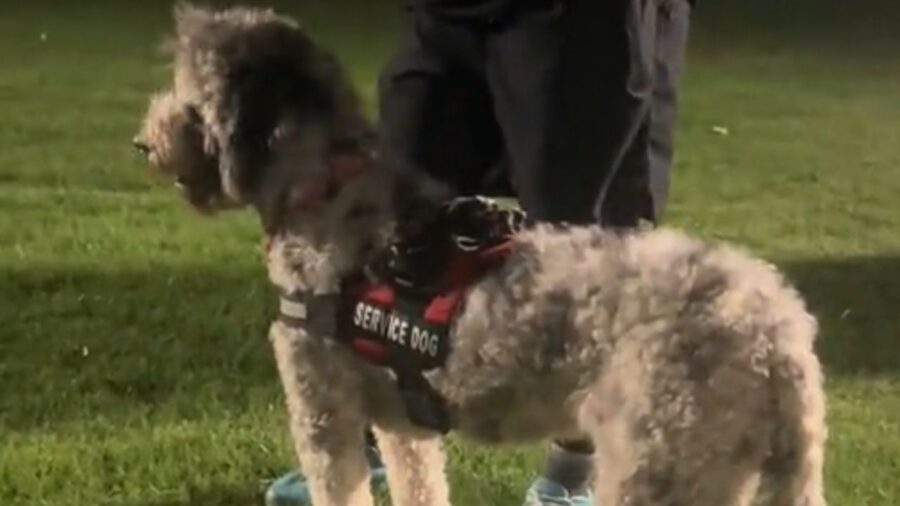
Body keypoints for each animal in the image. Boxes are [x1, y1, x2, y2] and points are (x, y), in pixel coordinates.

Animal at [130, 4, 828, 506]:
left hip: (657, 464)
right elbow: (419, 484)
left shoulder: (323, 409)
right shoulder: (402, 423)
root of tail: (781, 337)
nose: (143, 142)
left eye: (187, 92)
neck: (327, 189)